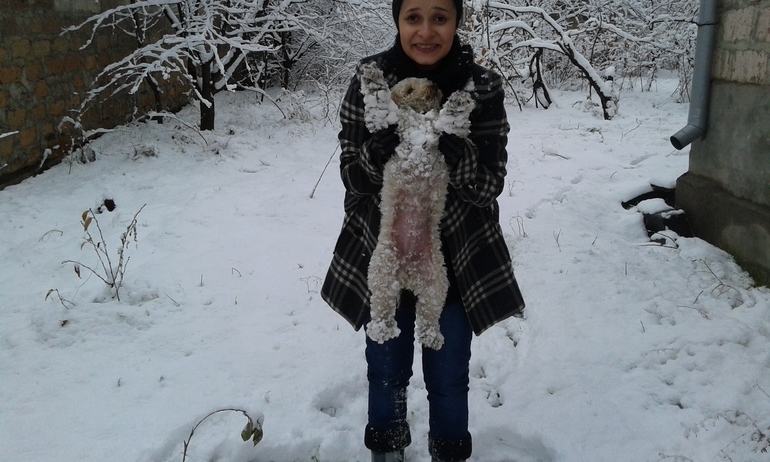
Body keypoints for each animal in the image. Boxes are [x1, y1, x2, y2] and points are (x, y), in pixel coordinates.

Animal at [359, 62, 475, 350]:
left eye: (427, 79)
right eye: (410, 88)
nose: (433, 86)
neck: (420, 117)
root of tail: (408, 273)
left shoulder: (445, 131)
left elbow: (454, 126)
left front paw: (459, 102)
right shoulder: (388, 123)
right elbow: (380, 106)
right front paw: (373, 79)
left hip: (436, 283)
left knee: (427, 316)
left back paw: (432, 337)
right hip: (382, 271)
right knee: (382, 307)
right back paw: (382, 330)